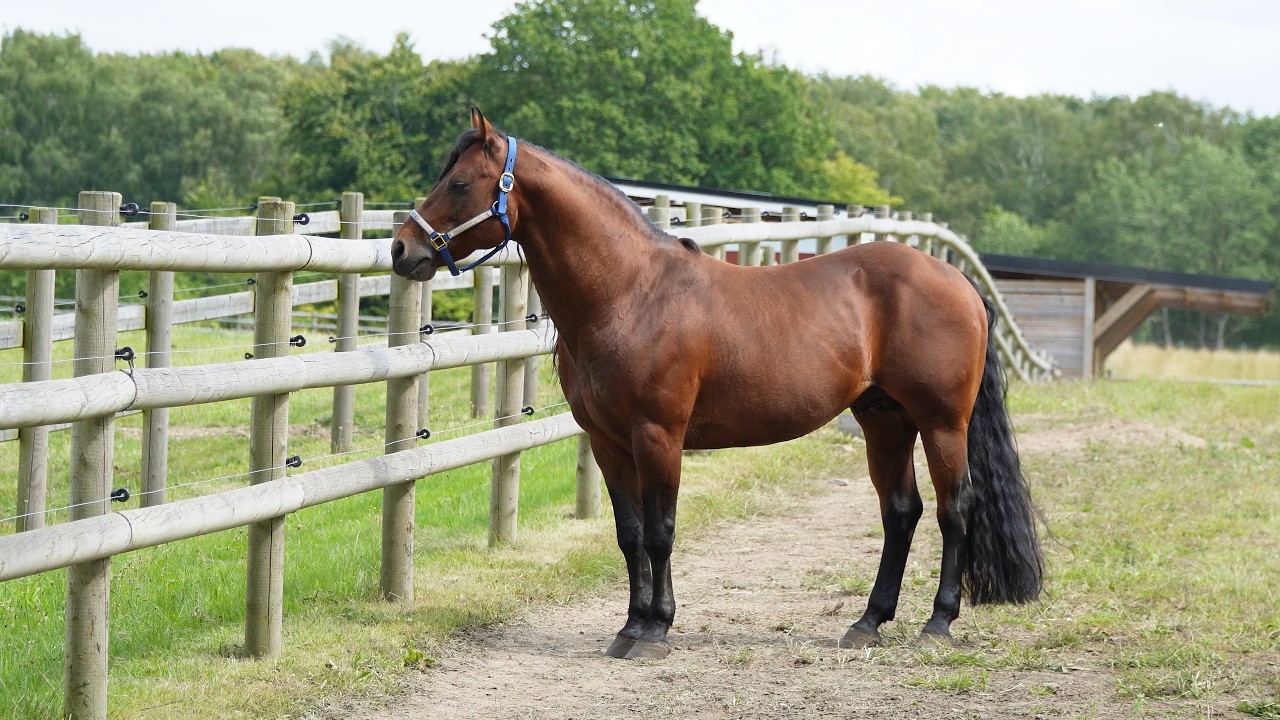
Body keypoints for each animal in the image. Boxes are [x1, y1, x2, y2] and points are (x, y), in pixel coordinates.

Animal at [391, 107, 1043, 660]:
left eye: (460, 184)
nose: (402, 248)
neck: (629, 293)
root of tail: (957, 280)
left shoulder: (659, 435)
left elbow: (660, 532)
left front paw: (656, 630)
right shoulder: (607, 442)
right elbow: (629, 534)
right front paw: (629, 626)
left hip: (941, 422)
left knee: (955, 510)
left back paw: (938, 622)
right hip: (884, 419)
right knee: (901, 512)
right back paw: (867, 622)